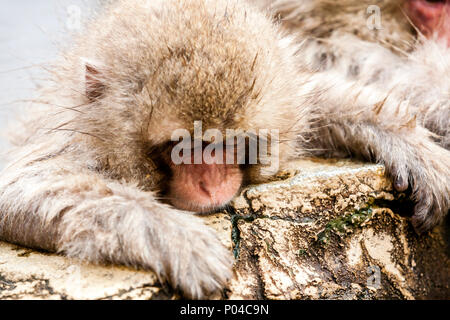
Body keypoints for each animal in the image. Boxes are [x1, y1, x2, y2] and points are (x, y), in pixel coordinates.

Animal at [0, 0, 450, 298]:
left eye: (231, 143)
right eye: (181, 146)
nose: (210, 184)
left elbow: (317, 95)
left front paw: (410, 145)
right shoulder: (74, 138)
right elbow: (19, 188)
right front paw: (180, 240)